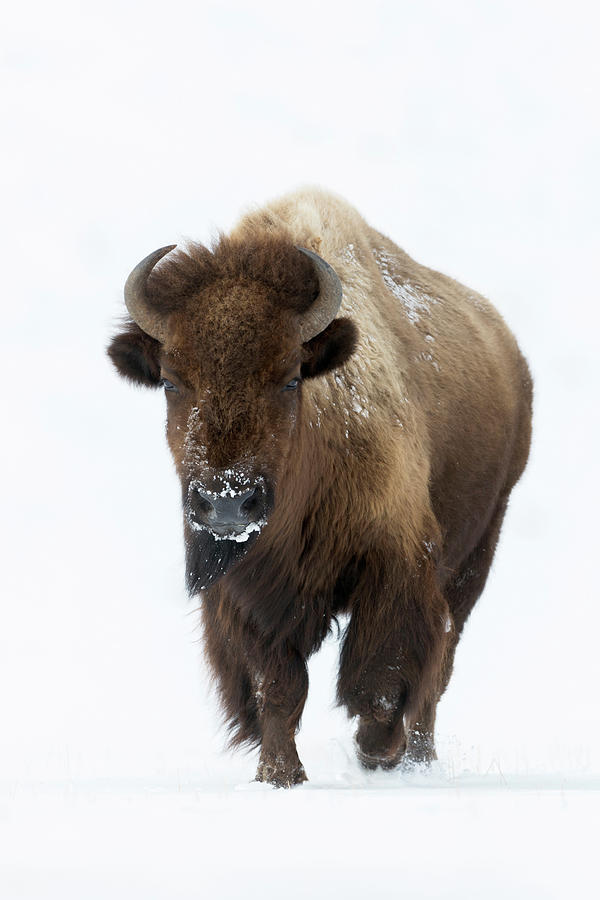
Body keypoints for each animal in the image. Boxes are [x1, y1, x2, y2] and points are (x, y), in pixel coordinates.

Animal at [109, 190, 536, 788]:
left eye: (290, 378)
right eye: (171, 381)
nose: (227, 503)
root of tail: (512, 357)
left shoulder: (398, 563)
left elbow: (382, 677)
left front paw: (375, 749)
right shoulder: (249, 593)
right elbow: (278, 686)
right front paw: (279, 774)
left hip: (476, 551)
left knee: (440, 664)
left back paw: (416, 759)